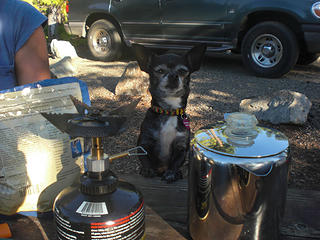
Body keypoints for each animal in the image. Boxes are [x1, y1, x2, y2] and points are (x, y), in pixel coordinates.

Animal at [131, 44, 206, 183]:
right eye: (160, 71)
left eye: (182, 71)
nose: (173, 75)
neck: (169, 111)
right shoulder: (144, 143)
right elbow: (145, 158)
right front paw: (147, 170)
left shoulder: (181, 147)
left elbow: (176, 163)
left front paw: (171, 173)